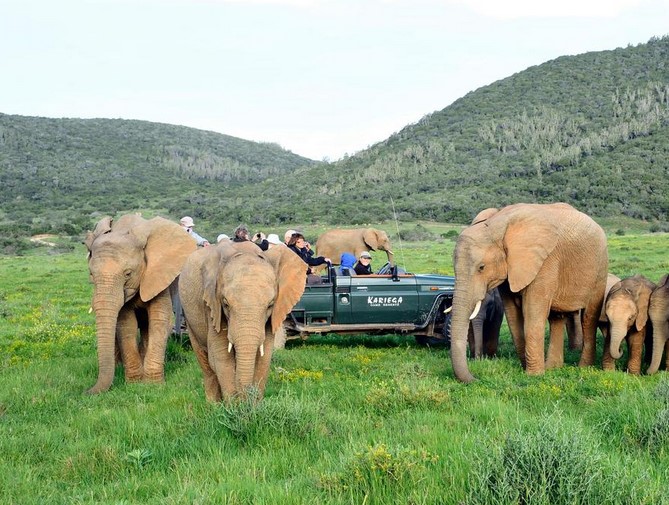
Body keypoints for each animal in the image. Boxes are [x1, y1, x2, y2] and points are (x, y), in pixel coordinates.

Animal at [83, 213, 196, 394]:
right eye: (91, 274)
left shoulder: (158, 275)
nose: (86, 392)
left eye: (128, 274)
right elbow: (126, 325)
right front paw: (134, 384)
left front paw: (152, 385)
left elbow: (159, 321)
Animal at [176, 240, 304, 402]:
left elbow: (264, 357)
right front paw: (234, 406)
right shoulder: (212, 306)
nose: (246, 398)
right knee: (205, 364)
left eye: (270, 305)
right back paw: (213, 404)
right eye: (225, 304)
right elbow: (221, 355)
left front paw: (253, 406)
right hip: (189, 317)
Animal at [448, 203, 612, 380]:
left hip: (600, 266)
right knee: (556, 318)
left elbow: (533, 312)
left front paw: (533, 376)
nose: (476, 378)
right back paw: (552, 367)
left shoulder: (545, 262)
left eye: (481, 267)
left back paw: (583, 368)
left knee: (588, 317)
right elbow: (512, 315)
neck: (497, 225)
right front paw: (527, 369)